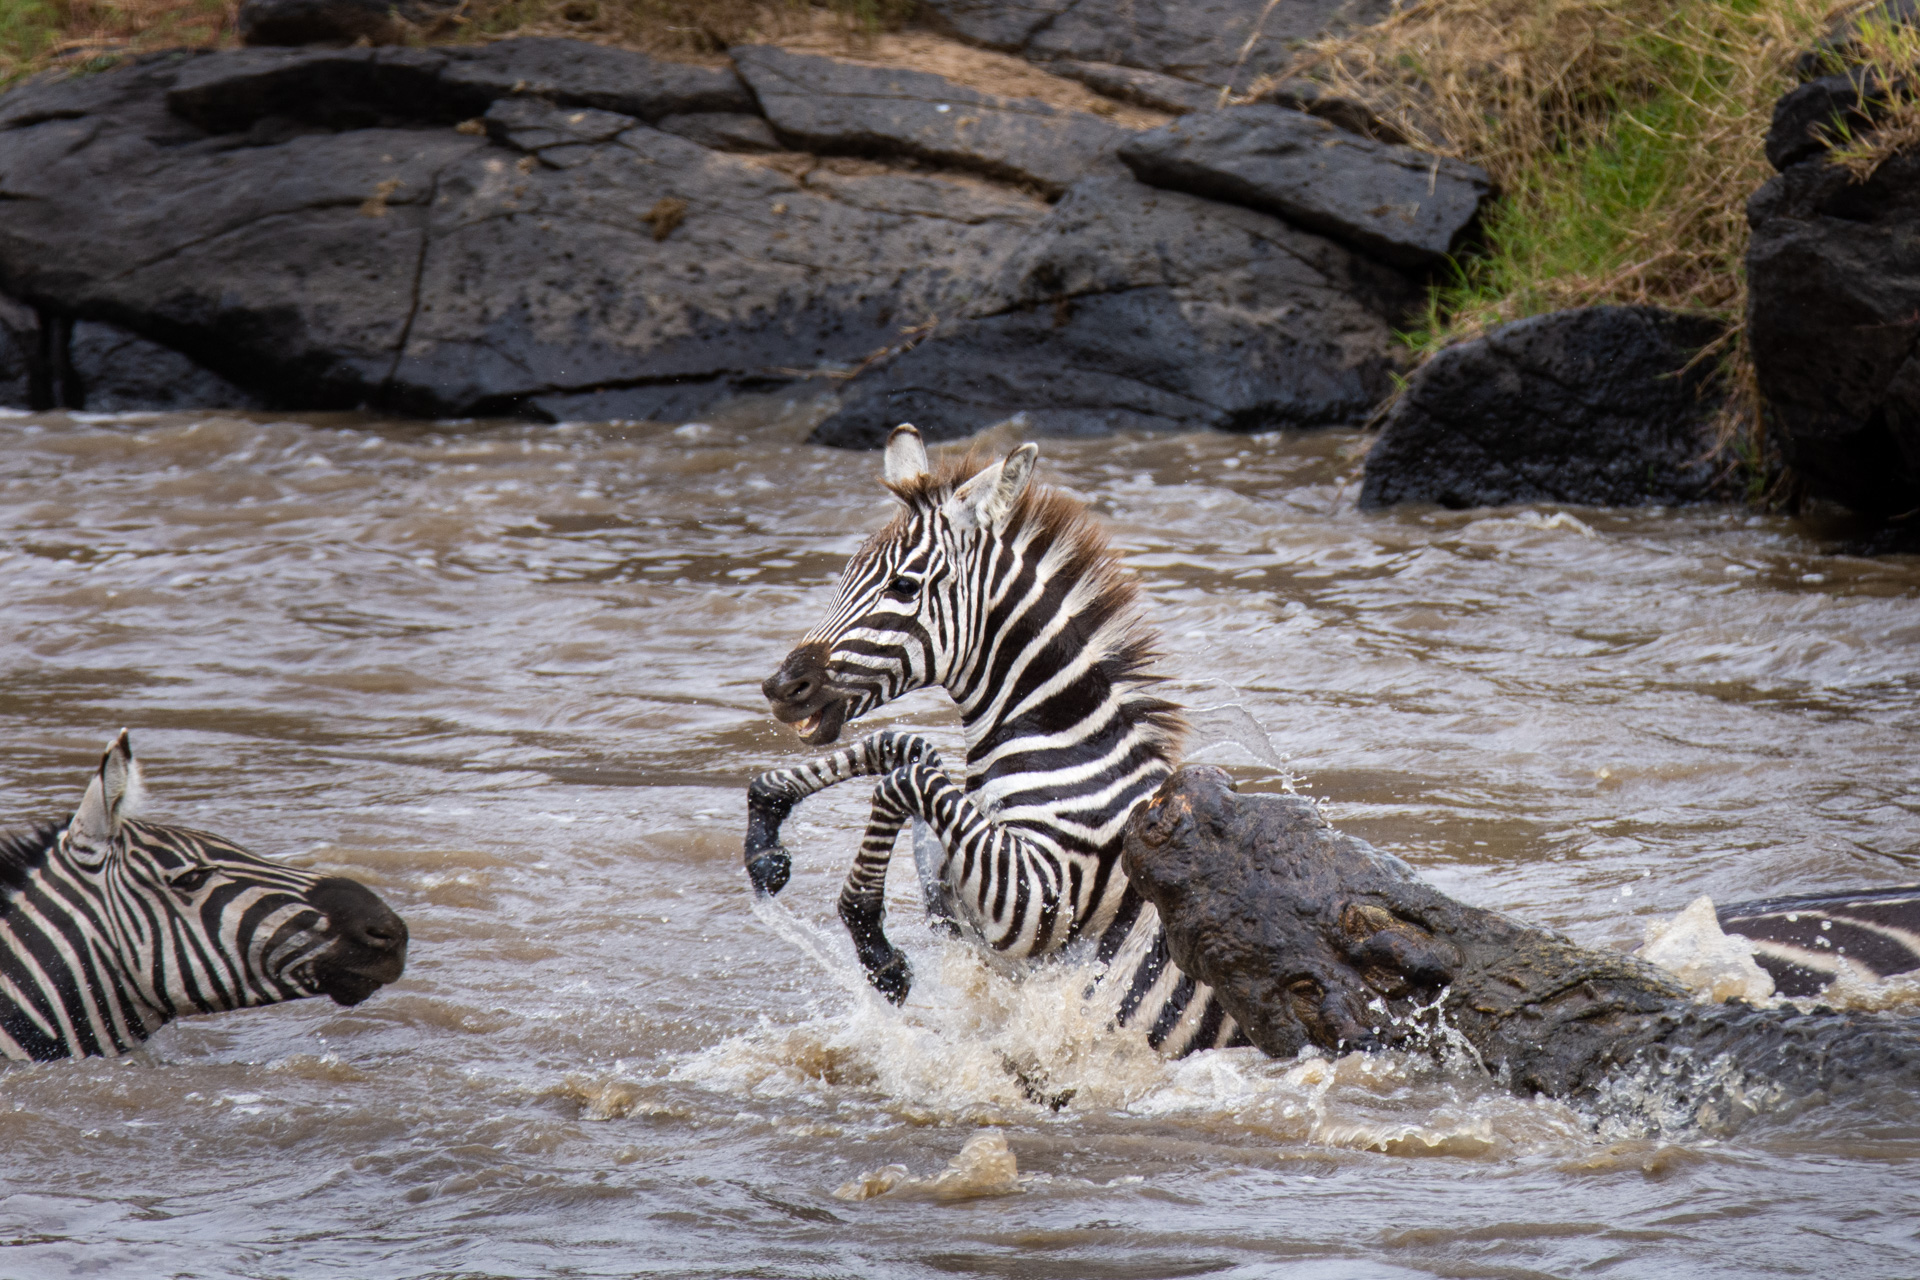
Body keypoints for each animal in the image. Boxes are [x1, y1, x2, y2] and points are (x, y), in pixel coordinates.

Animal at [748, 426, 1259, 1059]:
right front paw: (766, 820)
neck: (1062, 736)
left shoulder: (1038, 899)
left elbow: (905, 779)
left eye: (903, 586)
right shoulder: (958, 895)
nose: (781, 687)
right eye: (845, 574)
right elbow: (904, 749)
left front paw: (872, 940)